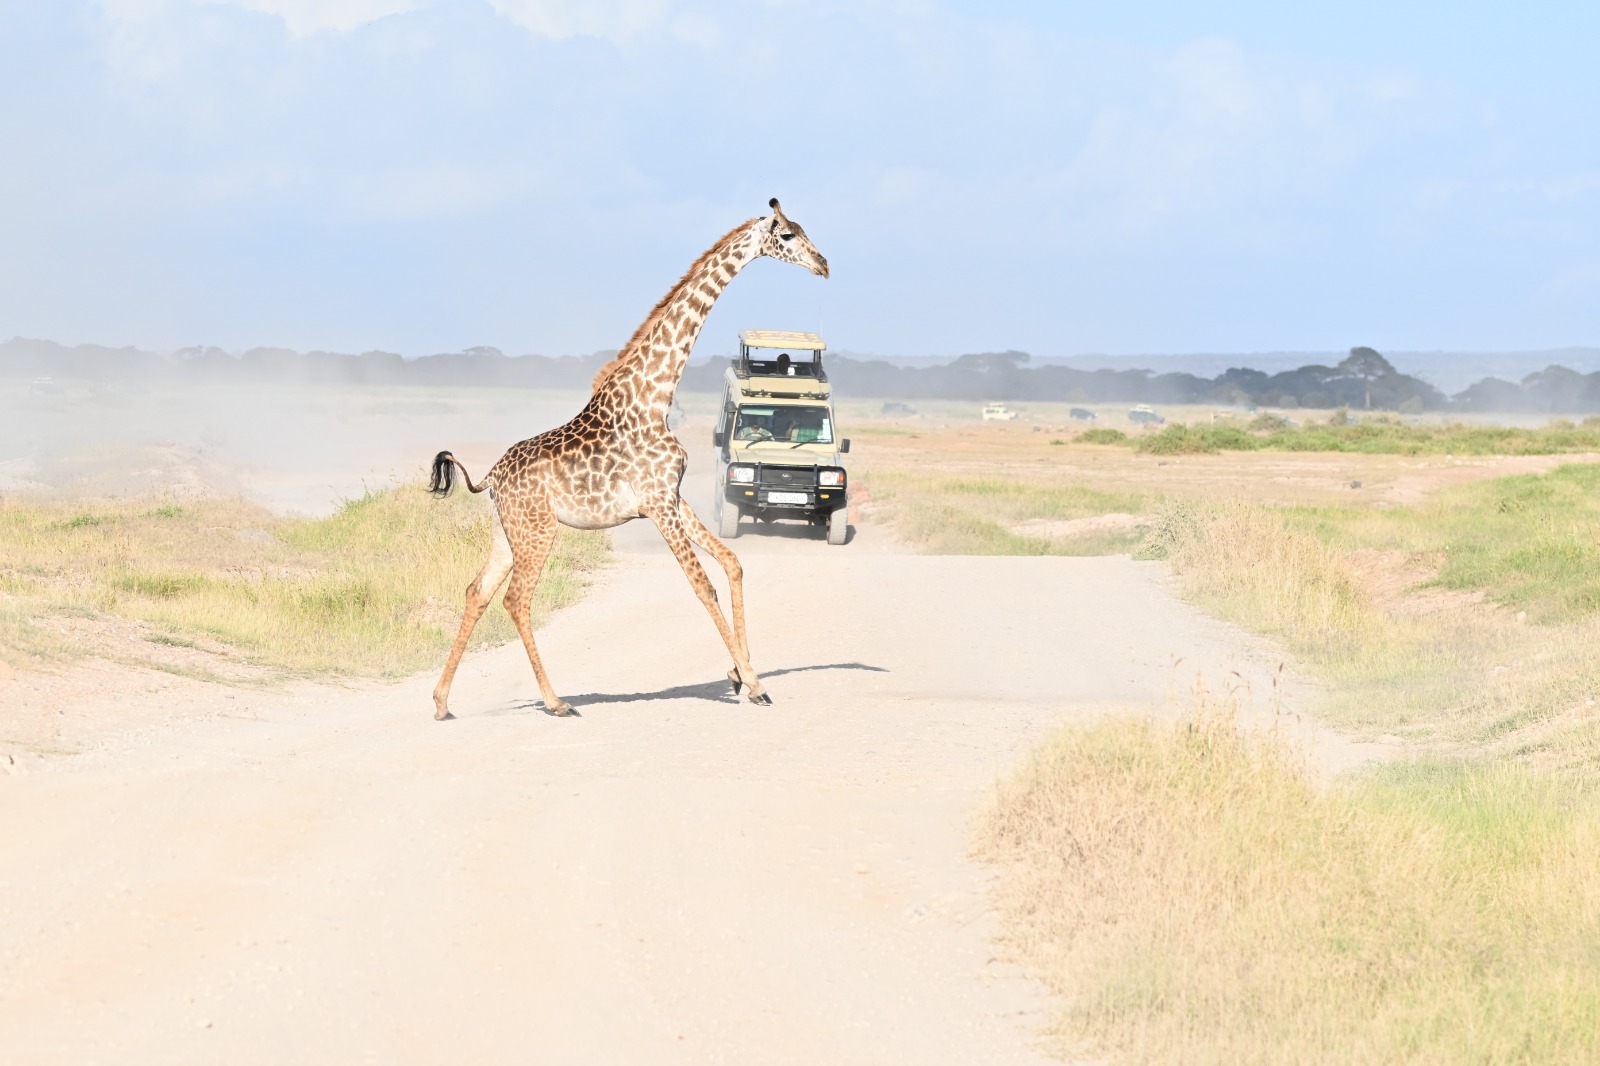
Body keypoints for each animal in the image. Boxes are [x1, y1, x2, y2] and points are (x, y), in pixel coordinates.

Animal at [426, 198, 829, 721]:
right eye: (787, 236)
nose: (823, 264)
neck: (653, 397)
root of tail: (492, 476)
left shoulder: (671, 498)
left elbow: (732, 563)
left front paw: (739, 673)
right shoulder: (657, 504)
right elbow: (702, 585)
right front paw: (754, 683)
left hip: (507, 530)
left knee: (478, 591)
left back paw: (441, 702)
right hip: (539, 530)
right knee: (516, 599)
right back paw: (556, 701)